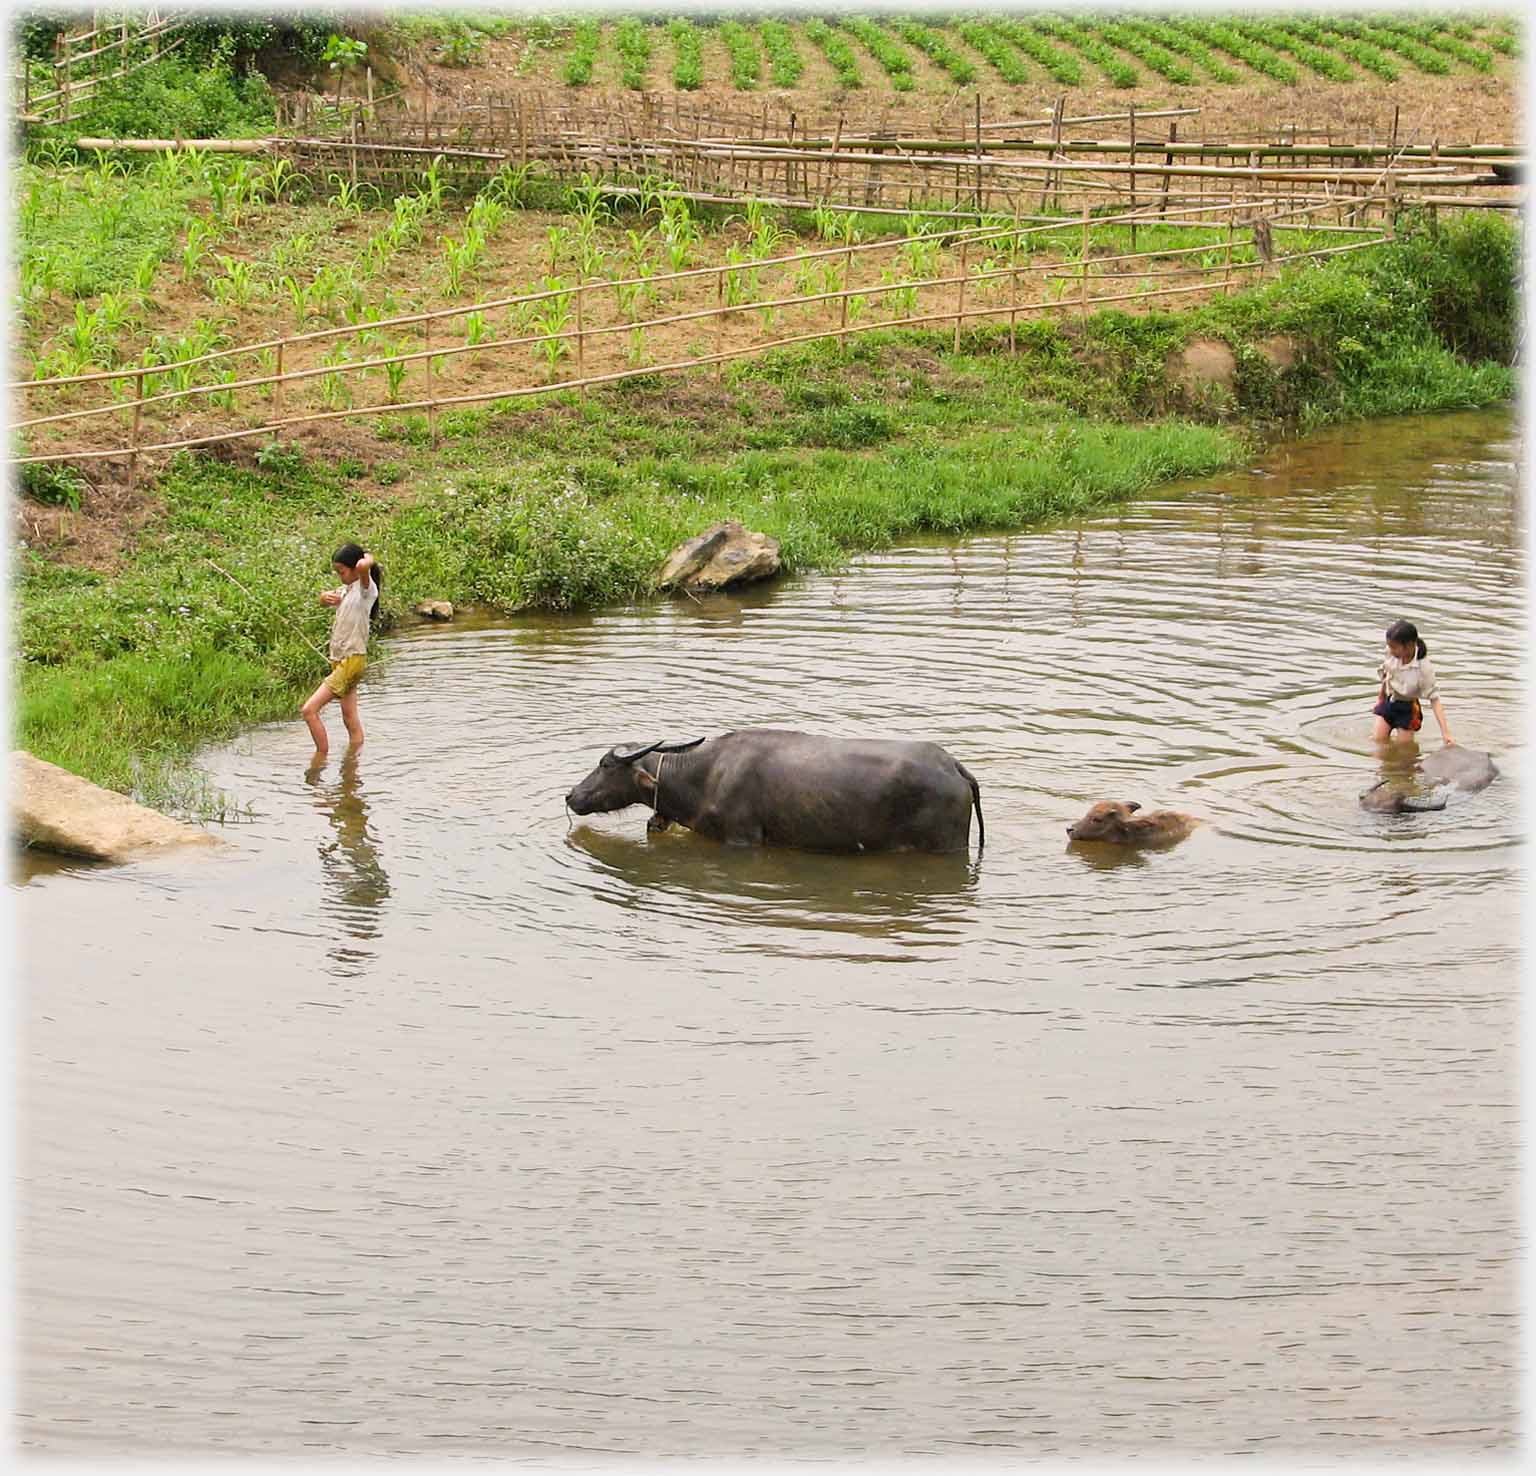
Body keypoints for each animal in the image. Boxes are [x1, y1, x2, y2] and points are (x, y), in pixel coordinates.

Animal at [565, 728, 983, 853]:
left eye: (605, 765)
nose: (570, 795)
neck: (705, 776)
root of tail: (955, 767)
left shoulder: (742, 838)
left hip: (945, 845)